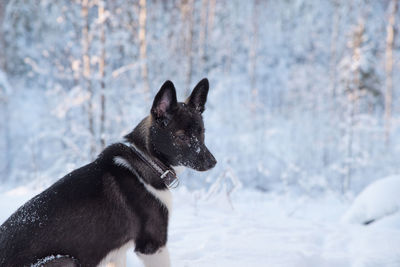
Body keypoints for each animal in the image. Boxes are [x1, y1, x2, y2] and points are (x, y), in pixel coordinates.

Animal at [0, 78, 217, 266]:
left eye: (202, 133)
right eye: (181, 137)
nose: (213, 163)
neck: (147, 160)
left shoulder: (116, 254)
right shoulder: (153, 245)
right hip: (65, 260)